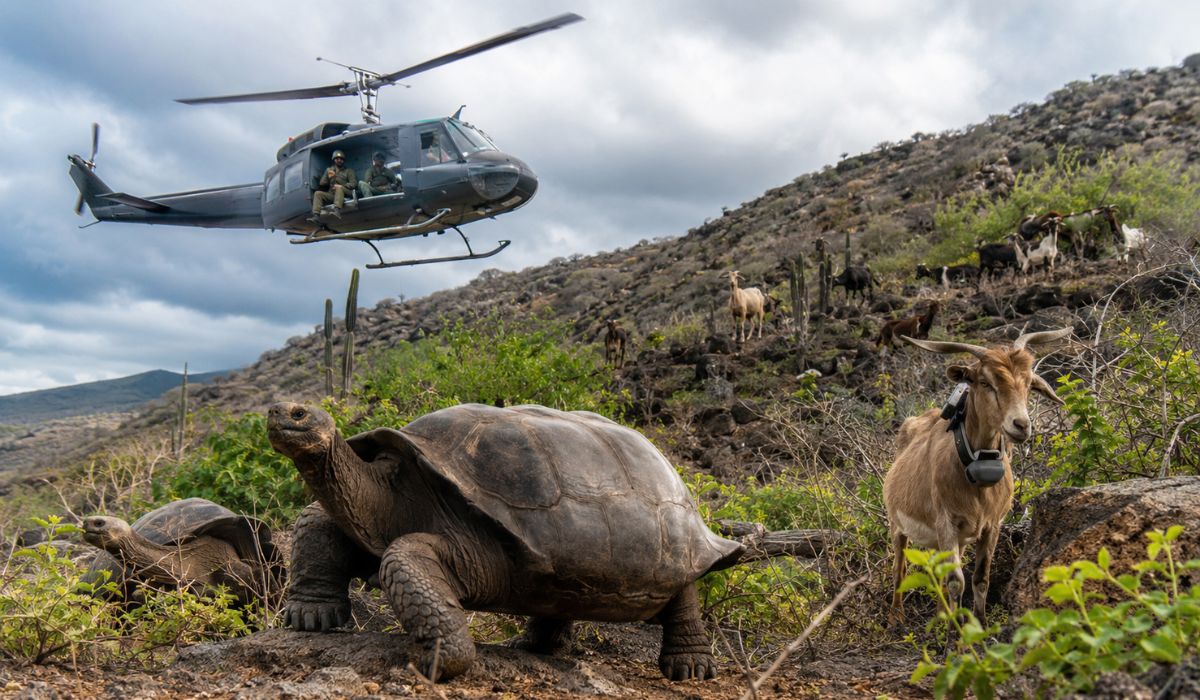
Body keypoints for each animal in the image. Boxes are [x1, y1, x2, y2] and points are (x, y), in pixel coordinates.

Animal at [884, 327, 1071, 625]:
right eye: (985, 382)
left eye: (1029, 384)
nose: (1021, 425)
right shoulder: (947, 523)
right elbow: (956, 582)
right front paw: (955, 633)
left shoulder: (992, 525)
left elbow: (980, 578)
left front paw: (978, 625)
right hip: (898, 524)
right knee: (899, 568)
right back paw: (896, 618)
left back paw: (940, 616)